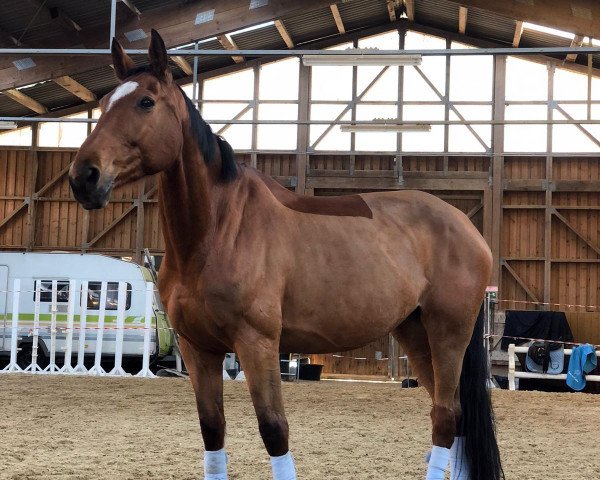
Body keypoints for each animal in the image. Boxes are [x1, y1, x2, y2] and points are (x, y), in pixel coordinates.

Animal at [68, 31, 504, 480]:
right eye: (105, 103)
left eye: (146, 101)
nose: (84, 176)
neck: (217, 231)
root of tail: (466, 226)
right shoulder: (197, 349)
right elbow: (212, 431)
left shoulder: (257, 344)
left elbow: (274, 430)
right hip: (416, 334)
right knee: (452, 418)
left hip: (448, 333)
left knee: (446, 418)